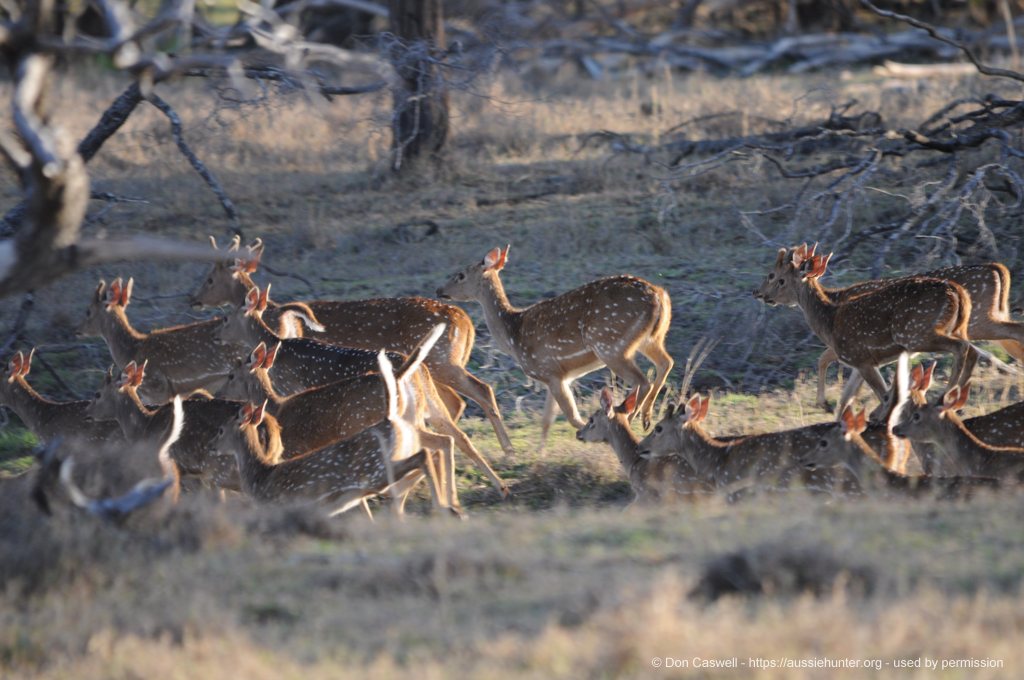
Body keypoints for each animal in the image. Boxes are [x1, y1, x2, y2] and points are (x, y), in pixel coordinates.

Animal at [191, 236, 516, 457]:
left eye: (209, 279)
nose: (194, 299)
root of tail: (466, 321)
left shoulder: (292, 385)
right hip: (437, 368)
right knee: (455, 405)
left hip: (442, 362)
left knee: (476, 392)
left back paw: (505, 451)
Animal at [209, 349, 461, 518]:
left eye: (231, 375)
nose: (216, 395)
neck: (276, 406)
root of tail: (399, 378)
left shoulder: (293, 450)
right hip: (410, 422)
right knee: (443, 442)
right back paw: (445, 504)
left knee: (438, 445)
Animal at [437, 245, 674, 448]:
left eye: (460, 275)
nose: (440, 290)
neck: (513, 335)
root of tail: (660, 295)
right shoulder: (558, 375)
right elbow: (547, 420)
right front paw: (539, 457)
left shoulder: (548, 371)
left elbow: (572, 417)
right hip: (650, 338)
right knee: (666, 362)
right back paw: (646, 419)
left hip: (610, 346)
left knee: (643, 380)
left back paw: (632, 420)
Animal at [755, 243, 1015, 413]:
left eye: (777, 278)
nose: (760, 294)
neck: (829, 319)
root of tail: (958, 293)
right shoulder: (862, 362)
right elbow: (849, 398)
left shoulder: (860, 357)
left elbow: (882, 395)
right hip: (956, 327)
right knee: (974, 349)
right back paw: (956, 399)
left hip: (917, 333)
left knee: (964, 348)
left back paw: (945, 396)